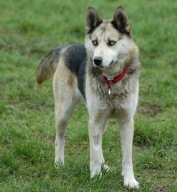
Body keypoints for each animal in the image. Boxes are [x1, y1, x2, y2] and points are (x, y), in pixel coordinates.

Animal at [36, 5, 141, 189]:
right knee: (59, 139)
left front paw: (129, 180)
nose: (97, 60)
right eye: (95, 42)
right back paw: (59, 164)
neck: (111, 82)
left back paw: (104, 166)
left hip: (100, 120)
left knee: (99, 144)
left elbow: (127, 157)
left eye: (111, 42)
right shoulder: (94, 121)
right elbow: (93, 152)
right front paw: (95, 177)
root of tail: (67, 48)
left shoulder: (127, 121)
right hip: (64, 113)